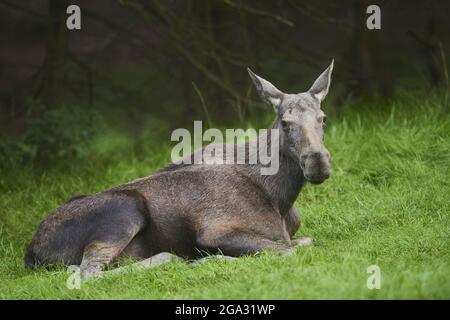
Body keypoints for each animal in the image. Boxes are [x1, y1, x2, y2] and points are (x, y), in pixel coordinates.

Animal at [25, 61, 334, 278]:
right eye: (285, 122)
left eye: (323, 118)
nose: (317, 162)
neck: (281, 197)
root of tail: (32, 249)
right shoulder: (215, 232)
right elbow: (293, 247)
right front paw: (206, 260)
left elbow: (297, 242)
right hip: (123, 211)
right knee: (86, 272)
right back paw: (173, 259)